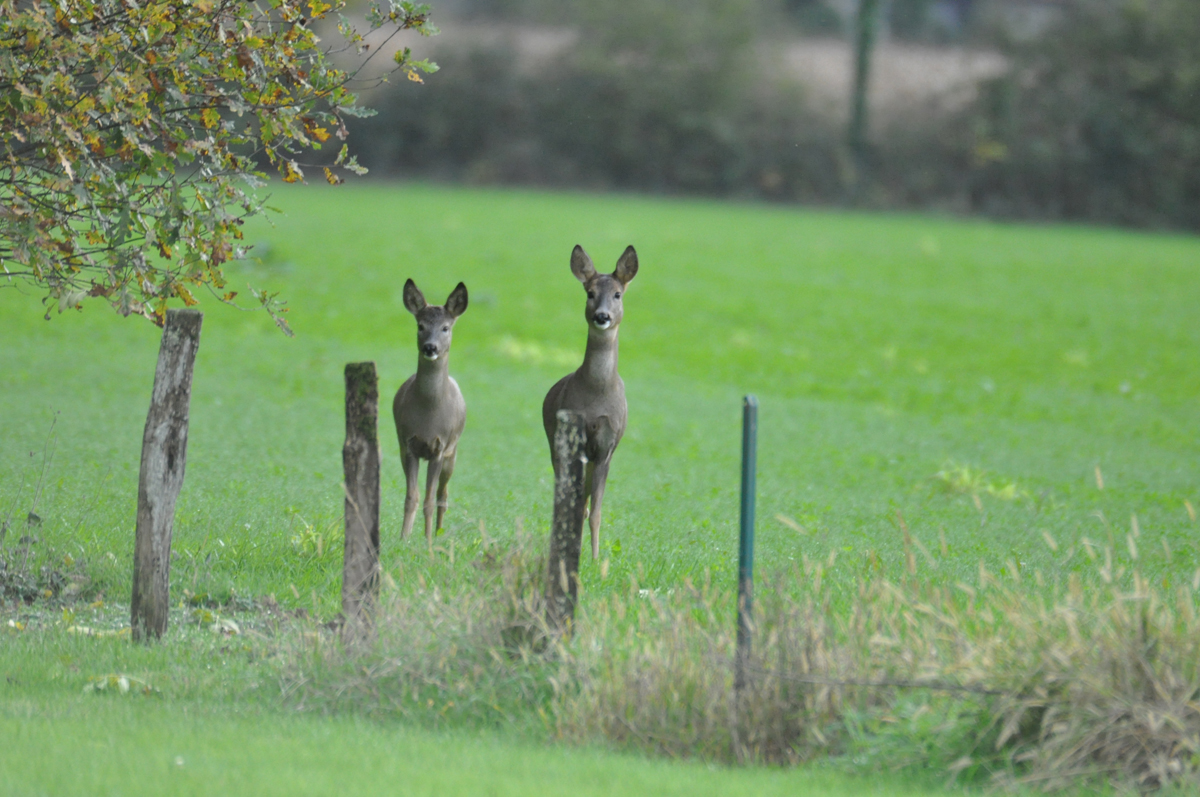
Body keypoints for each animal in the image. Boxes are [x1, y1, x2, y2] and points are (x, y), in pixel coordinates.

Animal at [393, 279, 468, 547]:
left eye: (445, 327)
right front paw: (404, 538)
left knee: (442, 495)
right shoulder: (408, 444)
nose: (430, 347)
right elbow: (411, 497)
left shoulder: (440, 447)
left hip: (452, 453)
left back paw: (438, 533)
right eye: (421, 326)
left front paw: (427, 541)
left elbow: (428, 499)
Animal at [544, 242, 638, 559]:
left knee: (583, 504)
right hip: (555, 446)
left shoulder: (607, 446)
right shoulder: (572, 440)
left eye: (618, 294)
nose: (602, 316)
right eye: (590, 292)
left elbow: (595, 511)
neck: (597, 392)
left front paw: (596, 560)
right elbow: (573, 504)